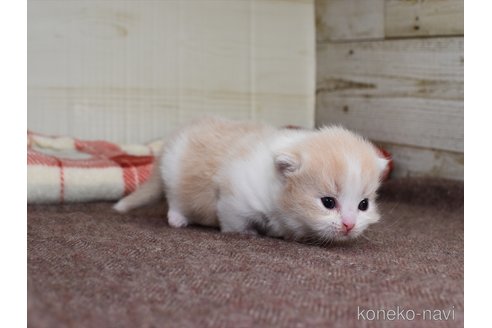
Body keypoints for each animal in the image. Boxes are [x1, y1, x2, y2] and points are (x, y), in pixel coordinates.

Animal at [115, 116, 388, 242]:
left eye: (364, 205)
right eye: (328, 203)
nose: (349, 225)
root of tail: (169, 142)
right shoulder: (235, 199)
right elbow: (234, 222)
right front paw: (247, 234)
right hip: (174, 177)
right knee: (174, 200)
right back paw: (177, 219)